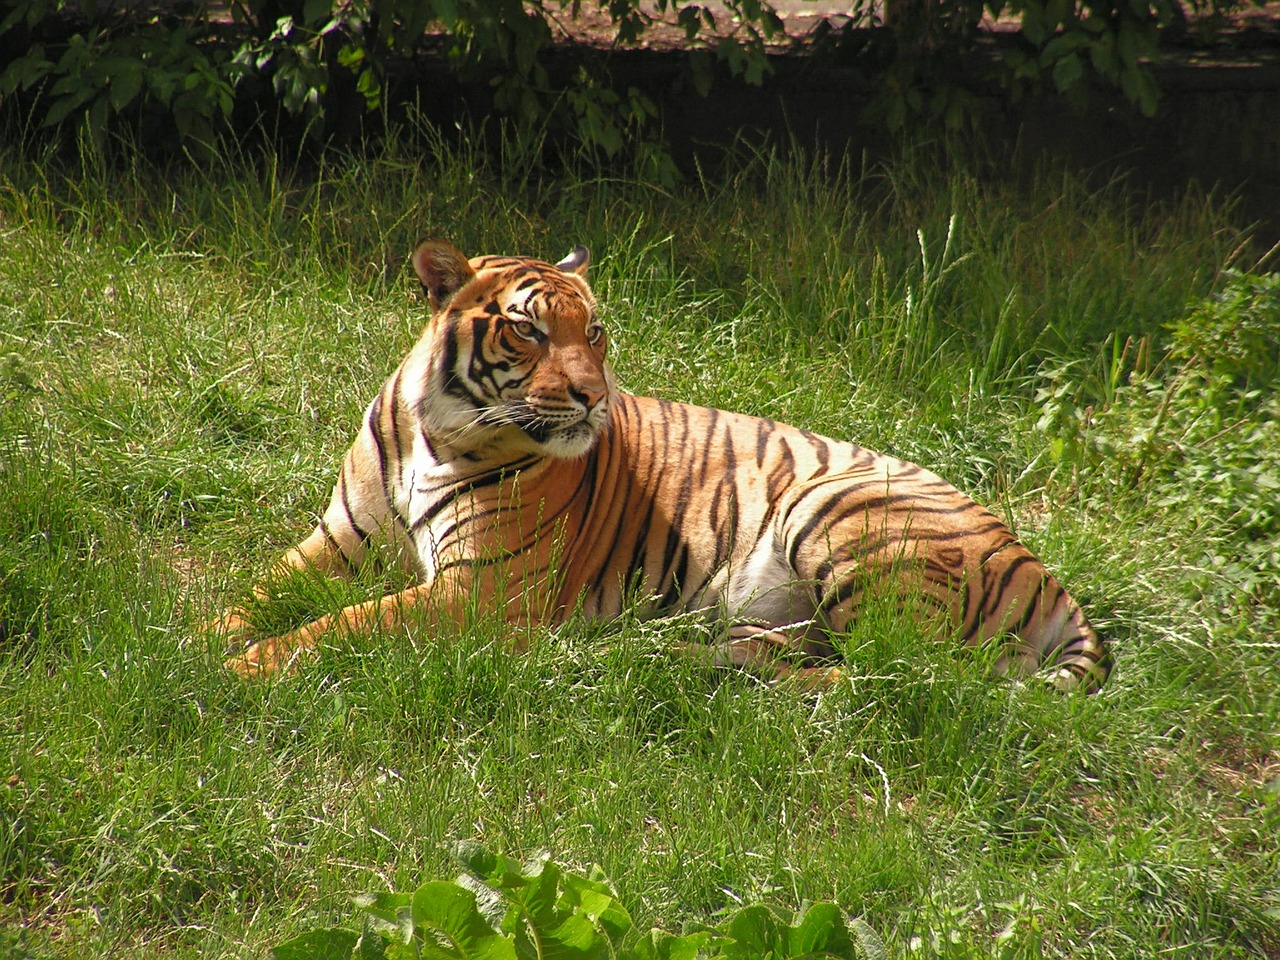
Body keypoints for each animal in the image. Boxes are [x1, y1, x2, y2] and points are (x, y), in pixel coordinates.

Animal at [217, 239, 1111, 691]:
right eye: (529, 330)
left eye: (595, 331)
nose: (592, 397)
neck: (439, 429)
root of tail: (1045, 573)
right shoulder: (339, 540)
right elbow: (254, 591)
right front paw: (202, 638)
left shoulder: (479, 588)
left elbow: (344, 625)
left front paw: (242, 668)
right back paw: (644, 658)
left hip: (841, 512)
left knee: (888, 678)